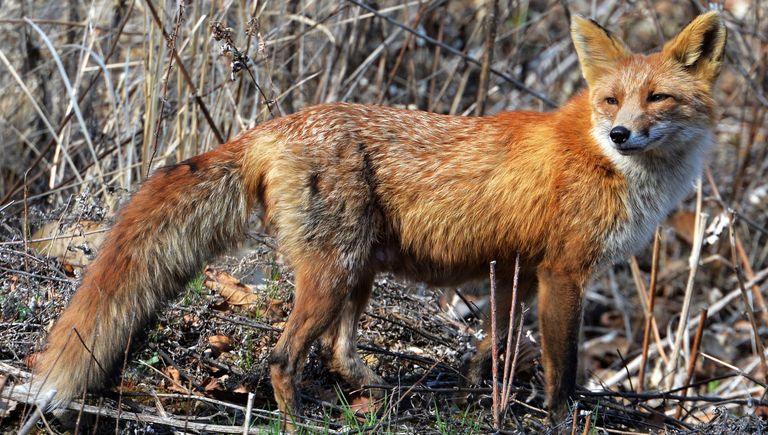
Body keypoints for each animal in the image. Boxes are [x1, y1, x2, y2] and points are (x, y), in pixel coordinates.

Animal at [23, 11, 725, 424]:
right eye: (611, 100)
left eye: (658, 98)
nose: (622, 133)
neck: (605, 162)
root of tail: (278, 125)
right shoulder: (563, 273)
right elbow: (563, 370)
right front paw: (559, 418)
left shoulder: (515, 273)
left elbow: (492, 348)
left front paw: (474, 399)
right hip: (335, 271)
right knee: (283, 357)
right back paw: (297, 421)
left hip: (356, 271)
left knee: (336, 354)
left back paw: (376, 395)